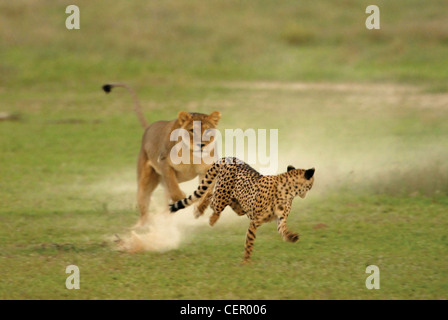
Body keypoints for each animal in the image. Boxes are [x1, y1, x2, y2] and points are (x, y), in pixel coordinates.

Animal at [169, 157, 316, 262]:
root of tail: (230, 157)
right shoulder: (255, 221)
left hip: (238, 204)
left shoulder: (280, 219)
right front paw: (246, 261)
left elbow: (283, 229)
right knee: (211, 198)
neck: (289, 191)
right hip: (222, 195)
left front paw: (292, 237)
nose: (312, 187)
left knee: (216, 197)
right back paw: (204, 214)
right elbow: (250, 241)